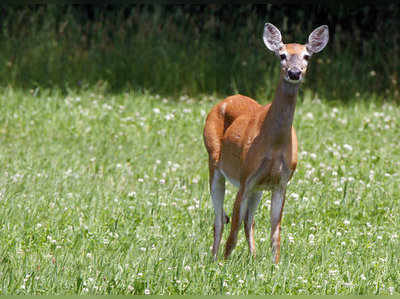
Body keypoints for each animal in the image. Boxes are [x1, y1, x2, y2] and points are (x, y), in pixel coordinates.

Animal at [203, 22, 328, 264]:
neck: (275, 144)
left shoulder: (281, 181)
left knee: (248, 220)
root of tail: (225, 100)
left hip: (258, 187)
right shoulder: (245, 176)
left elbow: (275, 229)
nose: (294, 72)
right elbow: (233, 226)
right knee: (219, 218)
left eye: (307, 56)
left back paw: (252, 257)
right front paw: (225, 263)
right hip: (214, 161)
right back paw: (214, 258)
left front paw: (275, 264)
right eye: (282, 55)